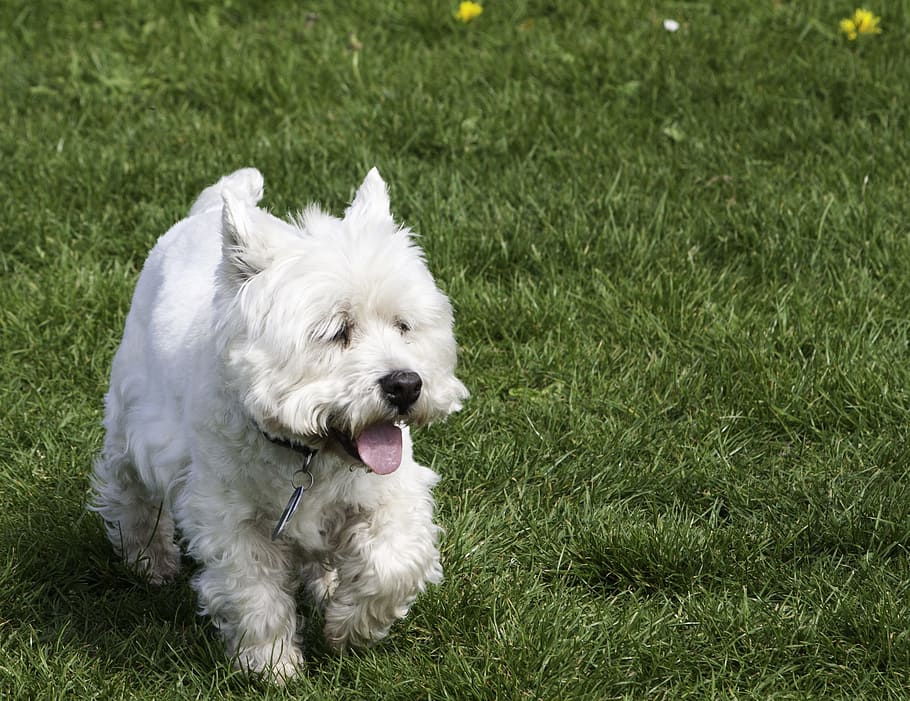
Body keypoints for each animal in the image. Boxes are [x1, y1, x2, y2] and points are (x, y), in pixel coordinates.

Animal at [89, 167, 466, 676]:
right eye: (336, 331)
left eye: (403, 325)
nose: (406, 385)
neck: (306, 454)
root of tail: (208, 209)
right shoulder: (228, 516)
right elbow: (254, 594)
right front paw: (272, 665)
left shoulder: (391, 493)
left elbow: (393, 563)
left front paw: (349, 628)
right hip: (131, 423)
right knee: (131, 493)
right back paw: (149, 560)